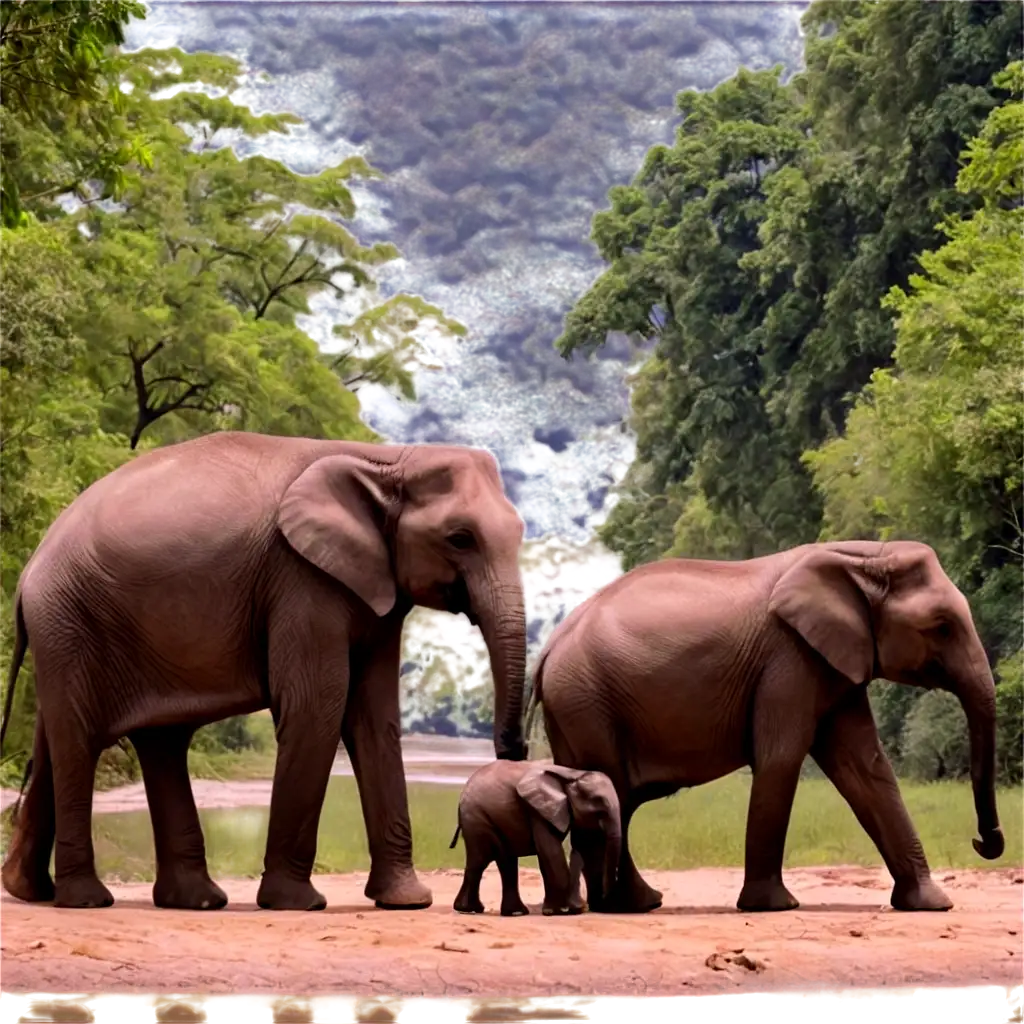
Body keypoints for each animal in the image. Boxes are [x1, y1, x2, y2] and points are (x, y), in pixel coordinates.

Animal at [0, 432, 528, 913]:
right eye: (460, 538)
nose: (513, 754)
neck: (386, 459)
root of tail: (28, 573)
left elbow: (375, 720)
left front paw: (406, 902)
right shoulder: (301, 576)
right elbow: (317, 707)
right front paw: (298, 905)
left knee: (138, 739)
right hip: (68, 618)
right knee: (80, 740)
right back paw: (87, 901)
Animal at [450, 761, 622, 921]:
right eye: (597, 800)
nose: (605, 899)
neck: (572, 774)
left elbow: (582, 847)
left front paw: (562, 910)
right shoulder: (537, 810)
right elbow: (551, 851)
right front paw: (562, 911)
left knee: (496, 861)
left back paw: (504, 912)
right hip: (477, 818)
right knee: (485, 860)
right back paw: (478, 910)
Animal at [528, 540, 1007, 917]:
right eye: (941, 627)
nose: (981, 842)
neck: (863, 555)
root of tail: (549, 649)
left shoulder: (832, 663)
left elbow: (866, 769)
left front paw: (931, 904)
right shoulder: (790, 658)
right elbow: (781, 759)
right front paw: (775, 906)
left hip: (576, 708)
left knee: (611, 800)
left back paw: (629, 903)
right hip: (587, 702)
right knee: (613, 794)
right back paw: (633, 905)